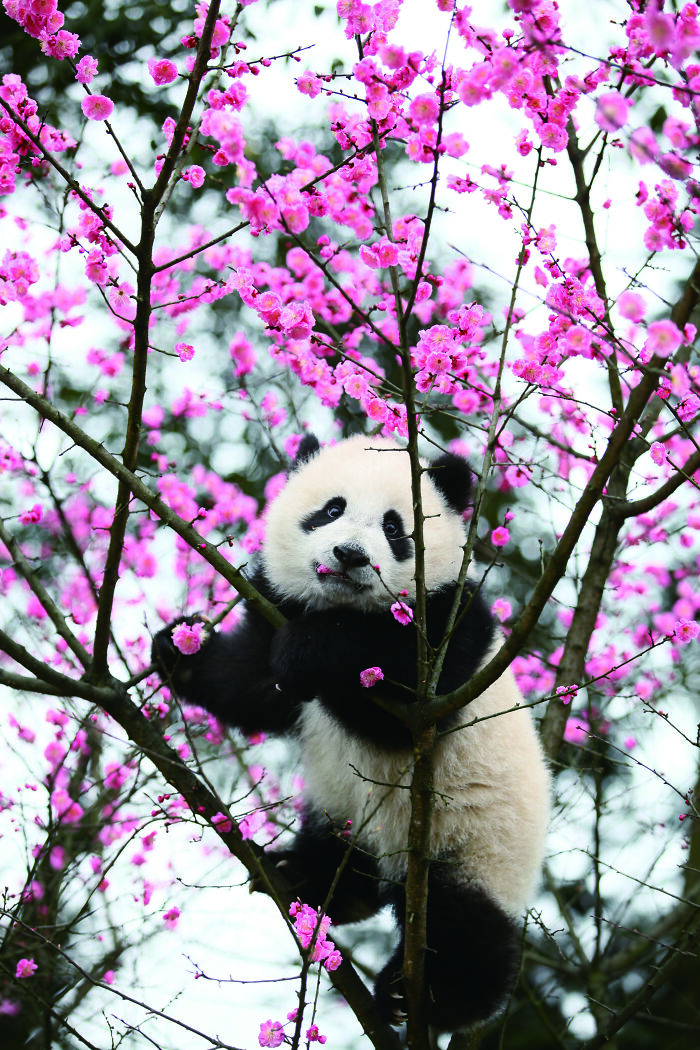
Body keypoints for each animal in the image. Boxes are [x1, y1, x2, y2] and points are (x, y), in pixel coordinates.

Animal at [152, 433, 550, 1034]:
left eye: (395, 528)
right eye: (331, 510)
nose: (350, 556)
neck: (341, 604)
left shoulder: (447, 636)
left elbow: (395, 695)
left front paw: (310, 649)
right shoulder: (278, 608)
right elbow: (253, 680)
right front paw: (182, 650)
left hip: (478, 847)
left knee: (464, 929)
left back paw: (421, 995)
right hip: (345, 813)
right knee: (342, 855)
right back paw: (303, 877)